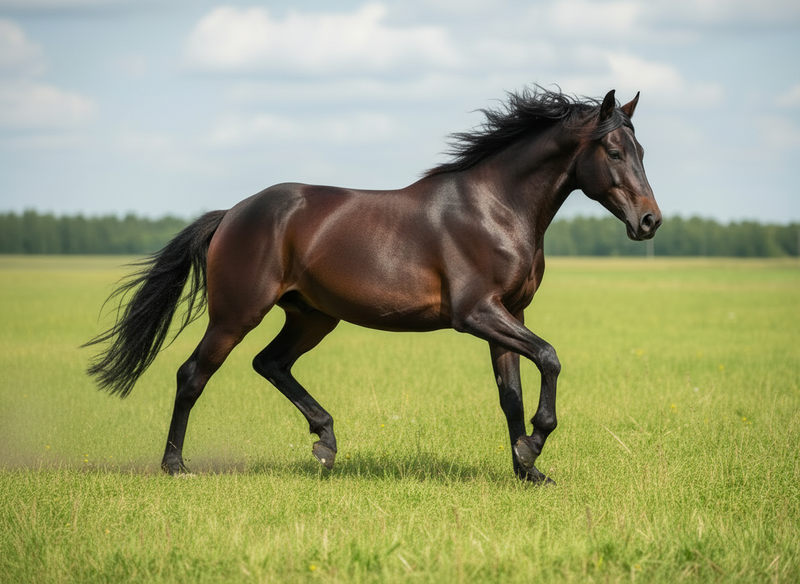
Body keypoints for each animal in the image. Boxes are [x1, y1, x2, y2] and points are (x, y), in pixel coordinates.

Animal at [84, 87, 661, 483]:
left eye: (641, 151)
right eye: (613, 152)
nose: (650, 221)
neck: (496, 208)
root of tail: (232, 213)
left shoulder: (510, 314)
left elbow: (511, 394)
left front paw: (527, 469)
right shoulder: (476, 313)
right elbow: (550, 358)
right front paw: (534, 447)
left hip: (312, 316)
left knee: (270, 363)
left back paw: (325, 442)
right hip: (236, 315)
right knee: (193, 375)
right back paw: (175, 465)